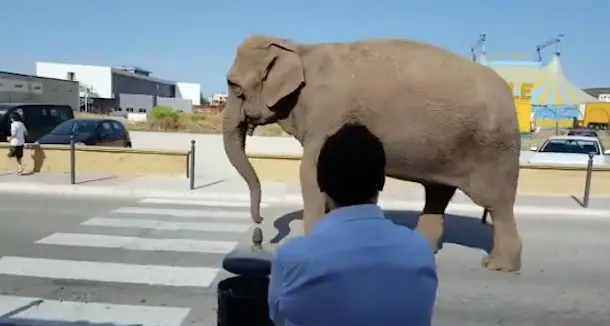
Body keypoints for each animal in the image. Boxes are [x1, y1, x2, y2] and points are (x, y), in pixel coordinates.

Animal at [223, 34, 524, 272]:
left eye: (234, 85)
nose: (259, 223)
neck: (298, 48)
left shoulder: (330, 113)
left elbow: (311, 172)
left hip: (494, 150)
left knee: (497, 203)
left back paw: (498, 266)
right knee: (437, 194)